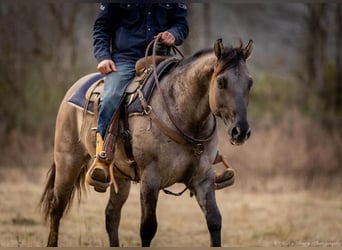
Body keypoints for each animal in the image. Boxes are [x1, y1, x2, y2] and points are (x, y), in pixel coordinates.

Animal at [39, 38, 254, 247]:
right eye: (221, 82)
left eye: (249, 83)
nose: (241, 131)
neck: (181, 113)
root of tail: (74, 88)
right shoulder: (150, 177)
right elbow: (148, 228)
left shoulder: (203, 176)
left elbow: (214, 220)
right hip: (68, 162)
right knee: (57, 207)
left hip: (120, 176)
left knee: (111, 215)